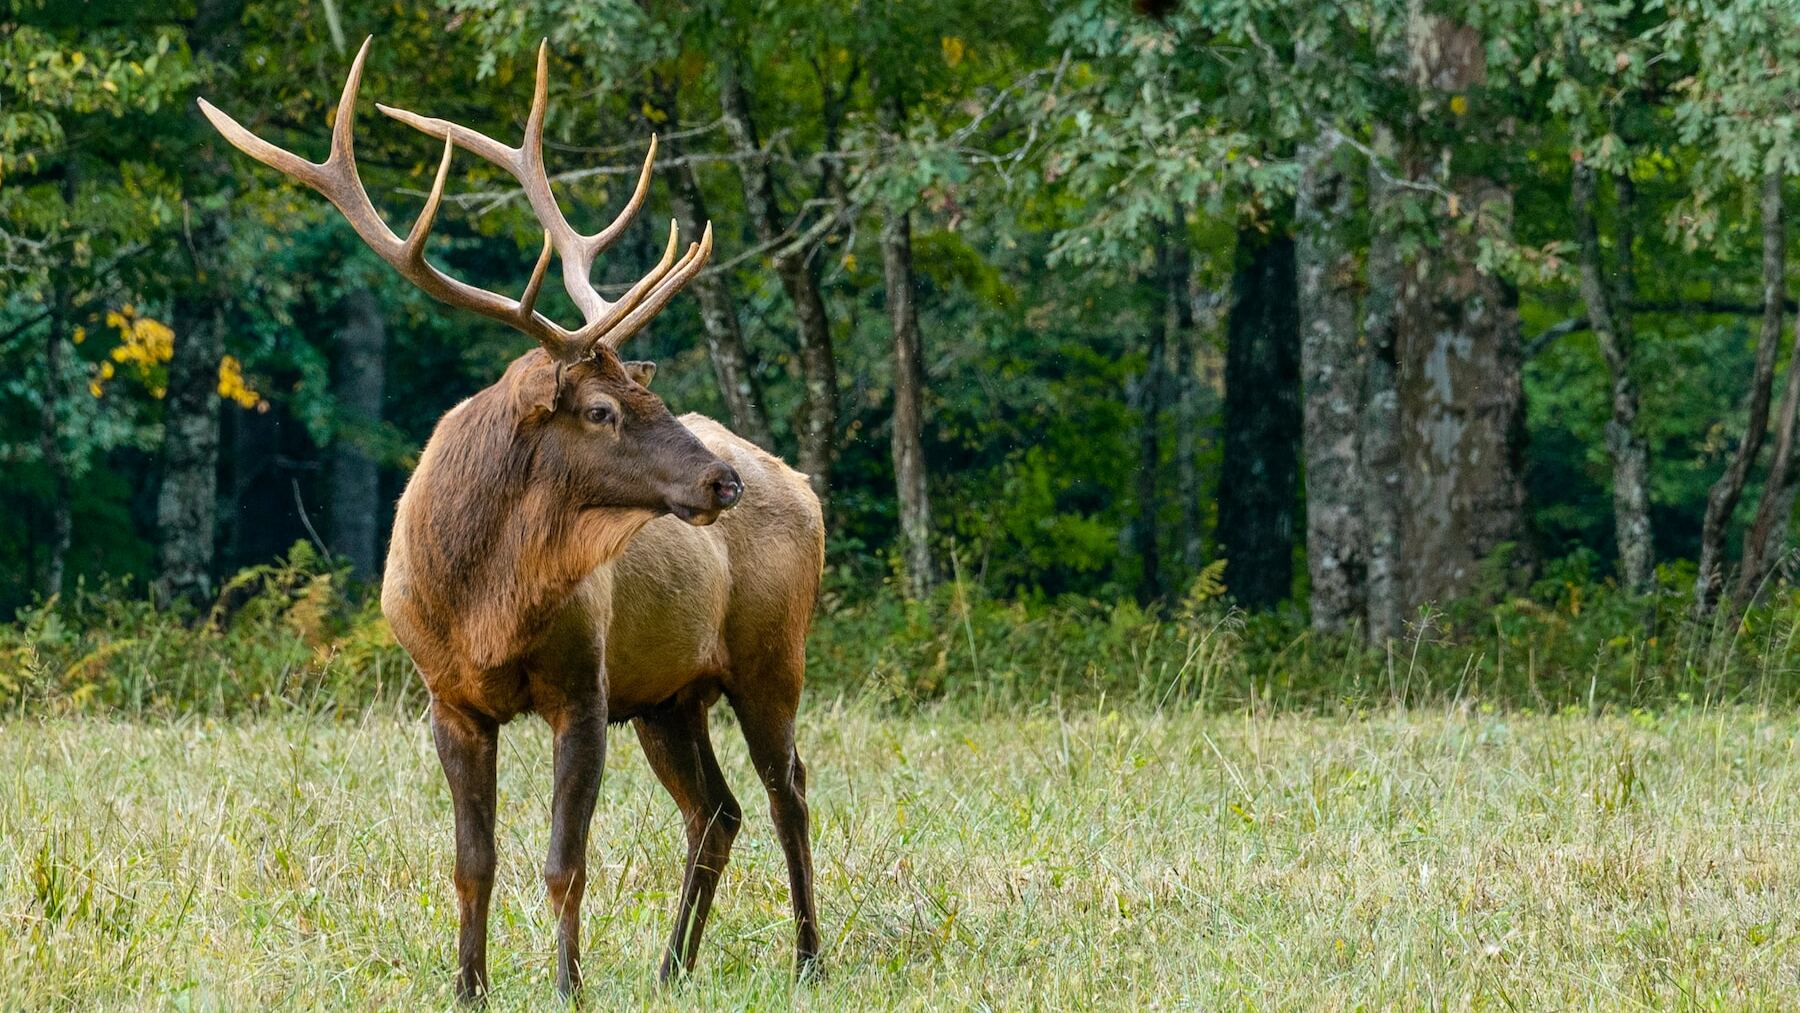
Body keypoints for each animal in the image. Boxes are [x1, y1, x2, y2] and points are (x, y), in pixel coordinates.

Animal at [198, 37, 828, 1000]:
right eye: (602, 409)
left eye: (647, 390)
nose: (722, 482)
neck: (484, 602)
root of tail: (805, 486)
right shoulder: (449, 697)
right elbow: (473, 862)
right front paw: (468, 985)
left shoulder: (585, 687)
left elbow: (565, 861)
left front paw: (568, 987)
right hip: (670, 694)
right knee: (716, 810)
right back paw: (672, 967)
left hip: (769, 654)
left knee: (787, 788)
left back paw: (807, 958)